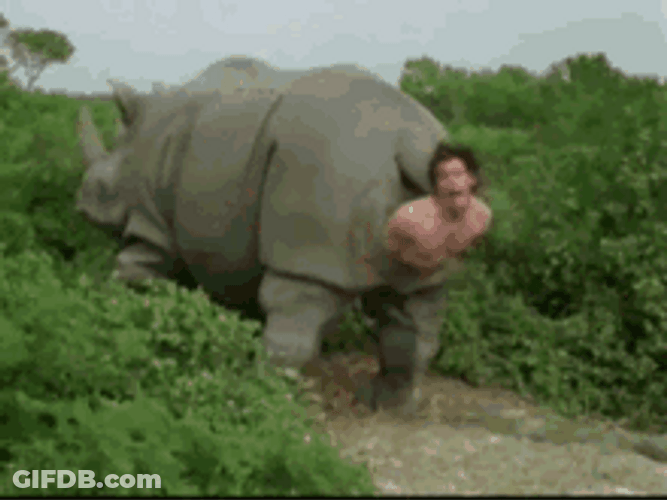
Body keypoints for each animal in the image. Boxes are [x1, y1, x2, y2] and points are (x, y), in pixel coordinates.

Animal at [76, 65, 467, 415]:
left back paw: (264, 402)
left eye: (99, 186)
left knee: (297, 304)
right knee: (416, 304)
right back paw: (391, 408)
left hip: (327, 169)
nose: (81, 208)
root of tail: (408, 142)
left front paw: (132, 324)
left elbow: (136, 273)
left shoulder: (153, 223)